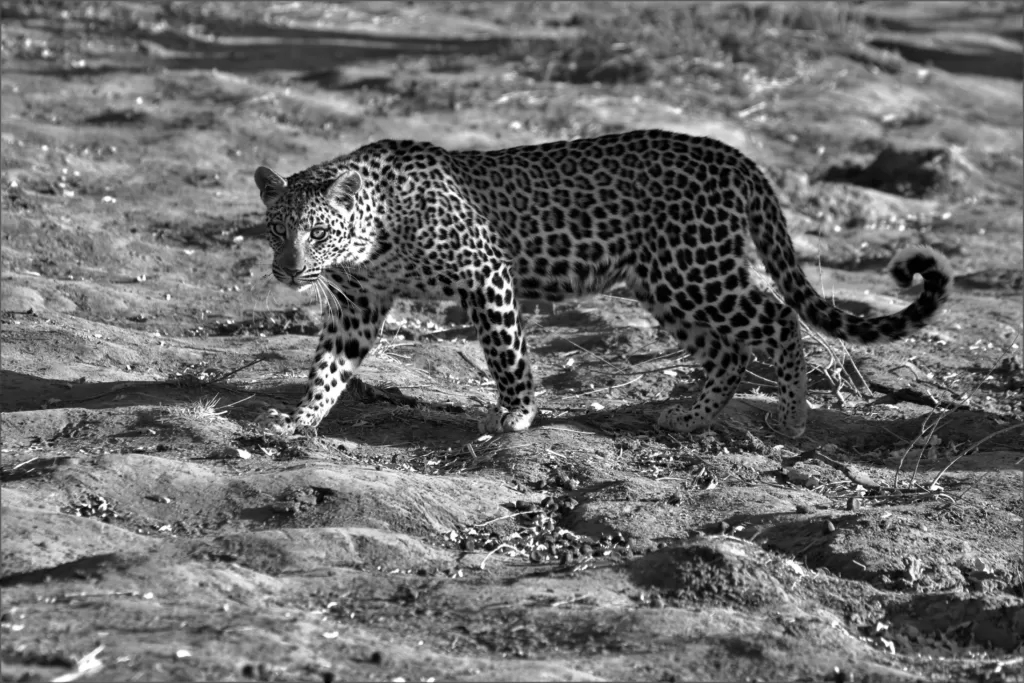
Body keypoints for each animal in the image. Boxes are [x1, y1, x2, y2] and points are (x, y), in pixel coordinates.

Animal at [249, 129, 950, 438]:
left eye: (318, 232)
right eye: (276, 230)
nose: (288, 271)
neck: (376, 229)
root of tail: (736, 157)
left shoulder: (486, 272)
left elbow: (506, 352)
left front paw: (519, 414)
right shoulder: (359, 304)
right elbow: (329, 365)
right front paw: (301, 417)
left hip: (694, 269)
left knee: (776, 318)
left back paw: (792, 416)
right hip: (666, 284)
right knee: (726, 350)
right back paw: (689, 414)